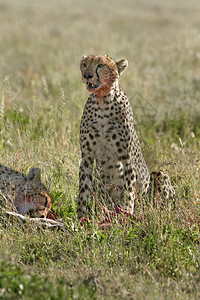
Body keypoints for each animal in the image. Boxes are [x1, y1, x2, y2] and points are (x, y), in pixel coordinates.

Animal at [77, 54, 174, 218]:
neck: (102, 99)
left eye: (100, 65)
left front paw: (127, 212)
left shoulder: (126, 157)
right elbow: (83, 189)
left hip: (158, 178)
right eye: (84, 64)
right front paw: (79, 218)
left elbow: (129, 188)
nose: (87, 75)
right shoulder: (87, 156)